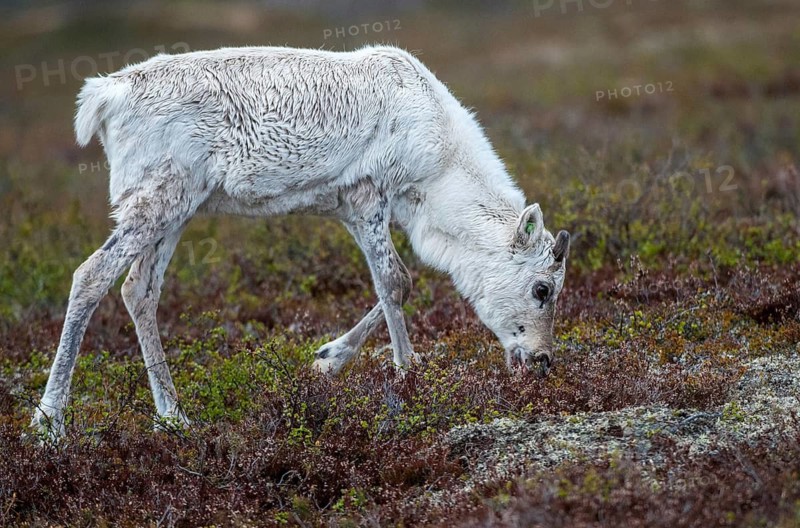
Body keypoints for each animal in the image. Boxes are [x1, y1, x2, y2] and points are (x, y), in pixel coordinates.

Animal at [31, 45, 571, 439]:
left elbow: (397, 284)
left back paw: (173, 415)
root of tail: (105, 95)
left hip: (176, 207)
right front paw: (408, 376)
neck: (439, 170)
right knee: (91, 275)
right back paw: (49, 422)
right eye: (542, 289)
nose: (543, 362)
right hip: (158, 198)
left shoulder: (353, 208)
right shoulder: (369, 196)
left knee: (139, 290)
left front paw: (328, 359)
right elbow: (395, 281)